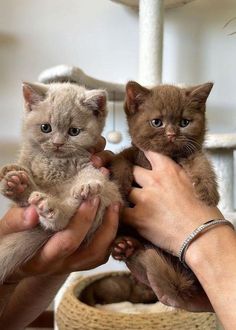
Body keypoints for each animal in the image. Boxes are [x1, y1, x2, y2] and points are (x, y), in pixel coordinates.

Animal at [110, 81, 219, 308]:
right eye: (157, 122)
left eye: (184, 122)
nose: (171, 134)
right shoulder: (132, 153)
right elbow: (120, 160)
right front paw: (120, 187)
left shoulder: (191, 152)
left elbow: (200, 161)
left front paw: (208, 191)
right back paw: (124, 247)